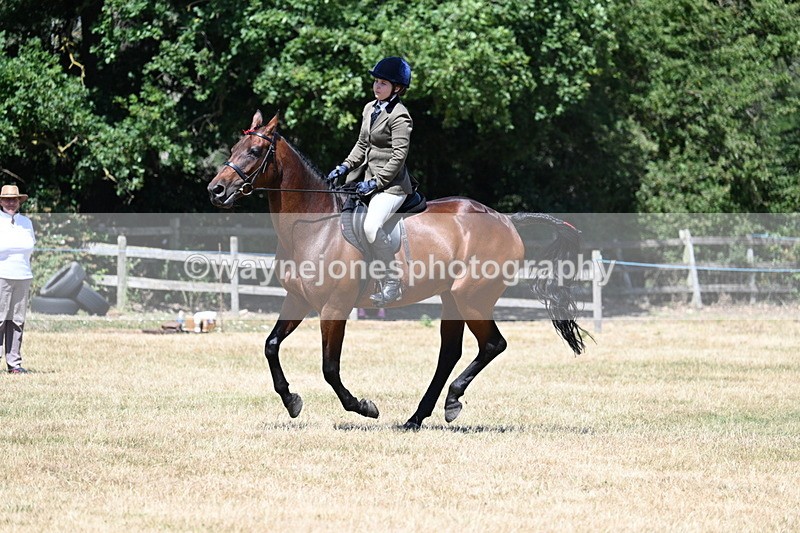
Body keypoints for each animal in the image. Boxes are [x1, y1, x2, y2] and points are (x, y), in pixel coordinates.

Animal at [207, 111, 586, 429]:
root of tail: (504, 220)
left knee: (493, 344)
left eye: (255, 151)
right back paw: (417, 417)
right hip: (452, 299)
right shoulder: (297, 300)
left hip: (472, 298)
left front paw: (363, 406)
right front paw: (291, 401)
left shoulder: (334, 307)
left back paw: (451, 401)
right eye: (235, 148)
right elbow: (271, 345)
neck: (314, 226)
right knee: (450, 353)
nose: (216, 190)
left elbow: (330, 368)